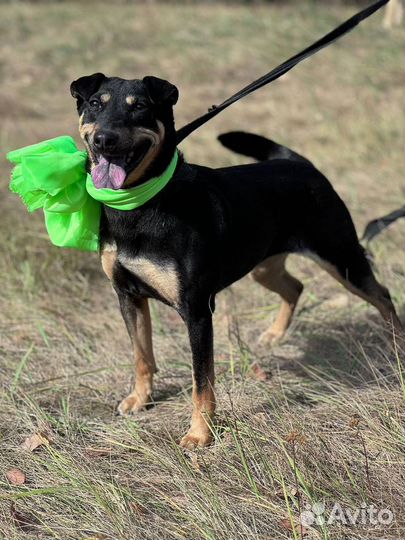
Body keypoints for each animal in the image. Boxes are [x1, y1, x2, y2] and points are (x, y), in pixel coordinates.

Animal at [69, 74, 400, 450]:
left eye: (139, 106)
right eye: (95, 104)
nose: (104, 138)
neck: (140, 204)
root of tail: (298, 161)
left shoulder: (196, 310)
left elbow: (202, 382)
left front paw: (200, 434)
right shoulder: (128, 296)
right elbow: (142, 356)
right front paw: (140, 399)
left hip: (340, 257)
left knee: (381, 295)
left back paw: (397, 346)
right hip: (264, 265)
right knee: (295, 286)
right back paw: (274, 334)